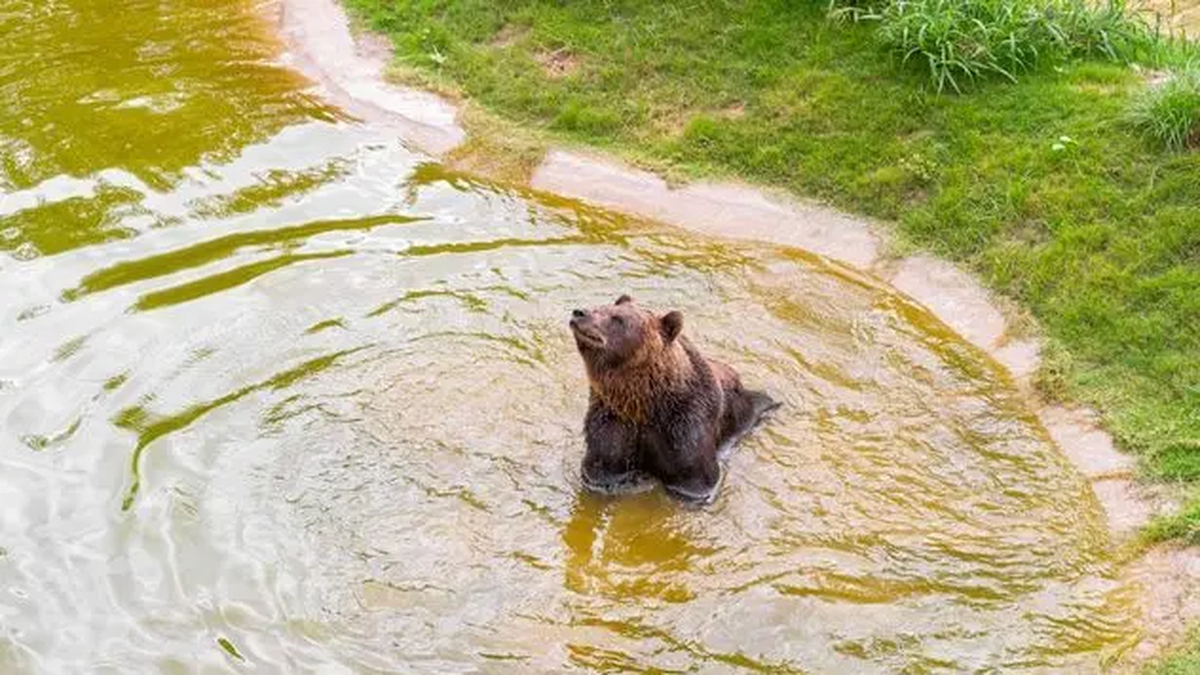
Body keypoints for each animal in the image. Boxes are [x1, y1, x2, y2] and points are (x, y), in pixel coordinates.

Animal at [568, 294, 779, 503]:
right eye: (602, 306)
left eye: (618, 319)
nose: (579, 312)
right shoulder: (614, 419)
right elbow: (601, 466)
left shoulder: (685, 426)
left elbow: (695, 478)